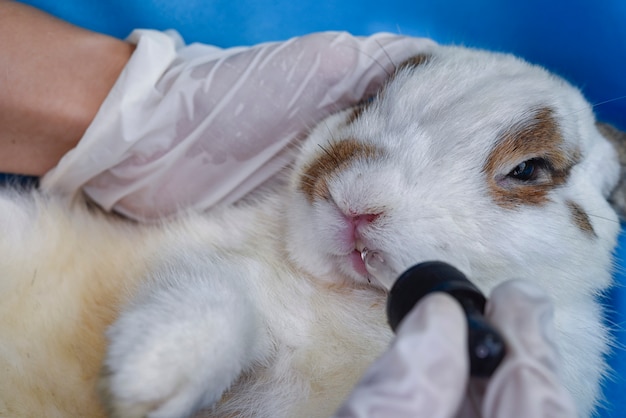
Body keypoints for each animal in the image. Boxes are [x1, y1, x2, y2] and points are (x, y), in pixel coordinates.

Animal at [0, 45, 620, 418]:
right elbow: (210, 297)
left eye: (529, 169)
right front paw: (148, 380)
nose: (353, 203)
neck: (360, 303)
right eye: (367, 100)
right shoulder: (217, 266)